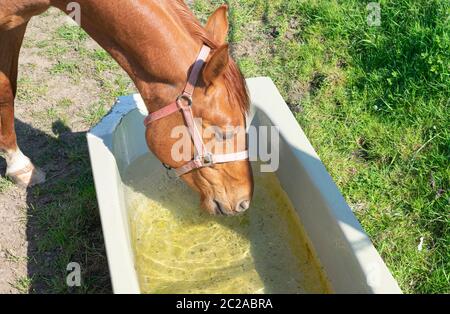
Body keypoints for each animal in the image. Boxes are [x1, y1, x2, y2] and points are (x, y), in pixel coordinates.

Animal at [0, 0, 253, 216]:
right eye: (222, 133)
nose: (244, 202)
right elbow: (5, 90)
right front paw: (19, 165)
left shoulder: (15, 25)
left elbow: (9, 87)